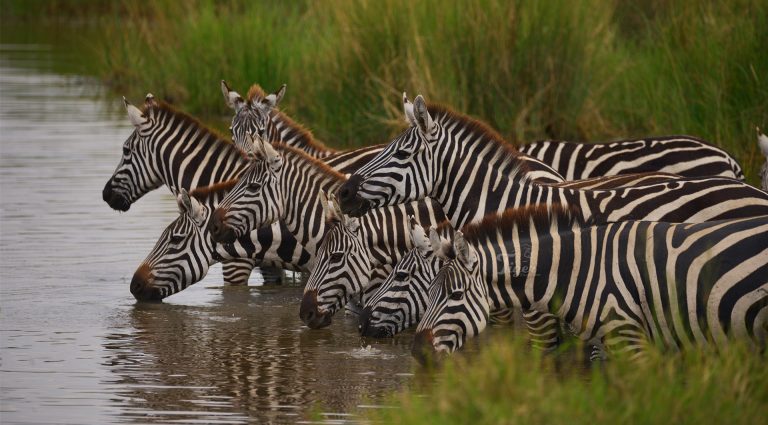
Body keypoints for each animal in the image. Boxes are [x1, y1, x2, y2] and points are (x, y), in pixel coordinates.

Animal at [412, 205, 768, 364]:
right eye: (428, 293)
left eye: (456, 295)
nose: (417, 351)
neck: (579, 270)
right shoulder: (612, 344)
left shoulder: (630, 338)